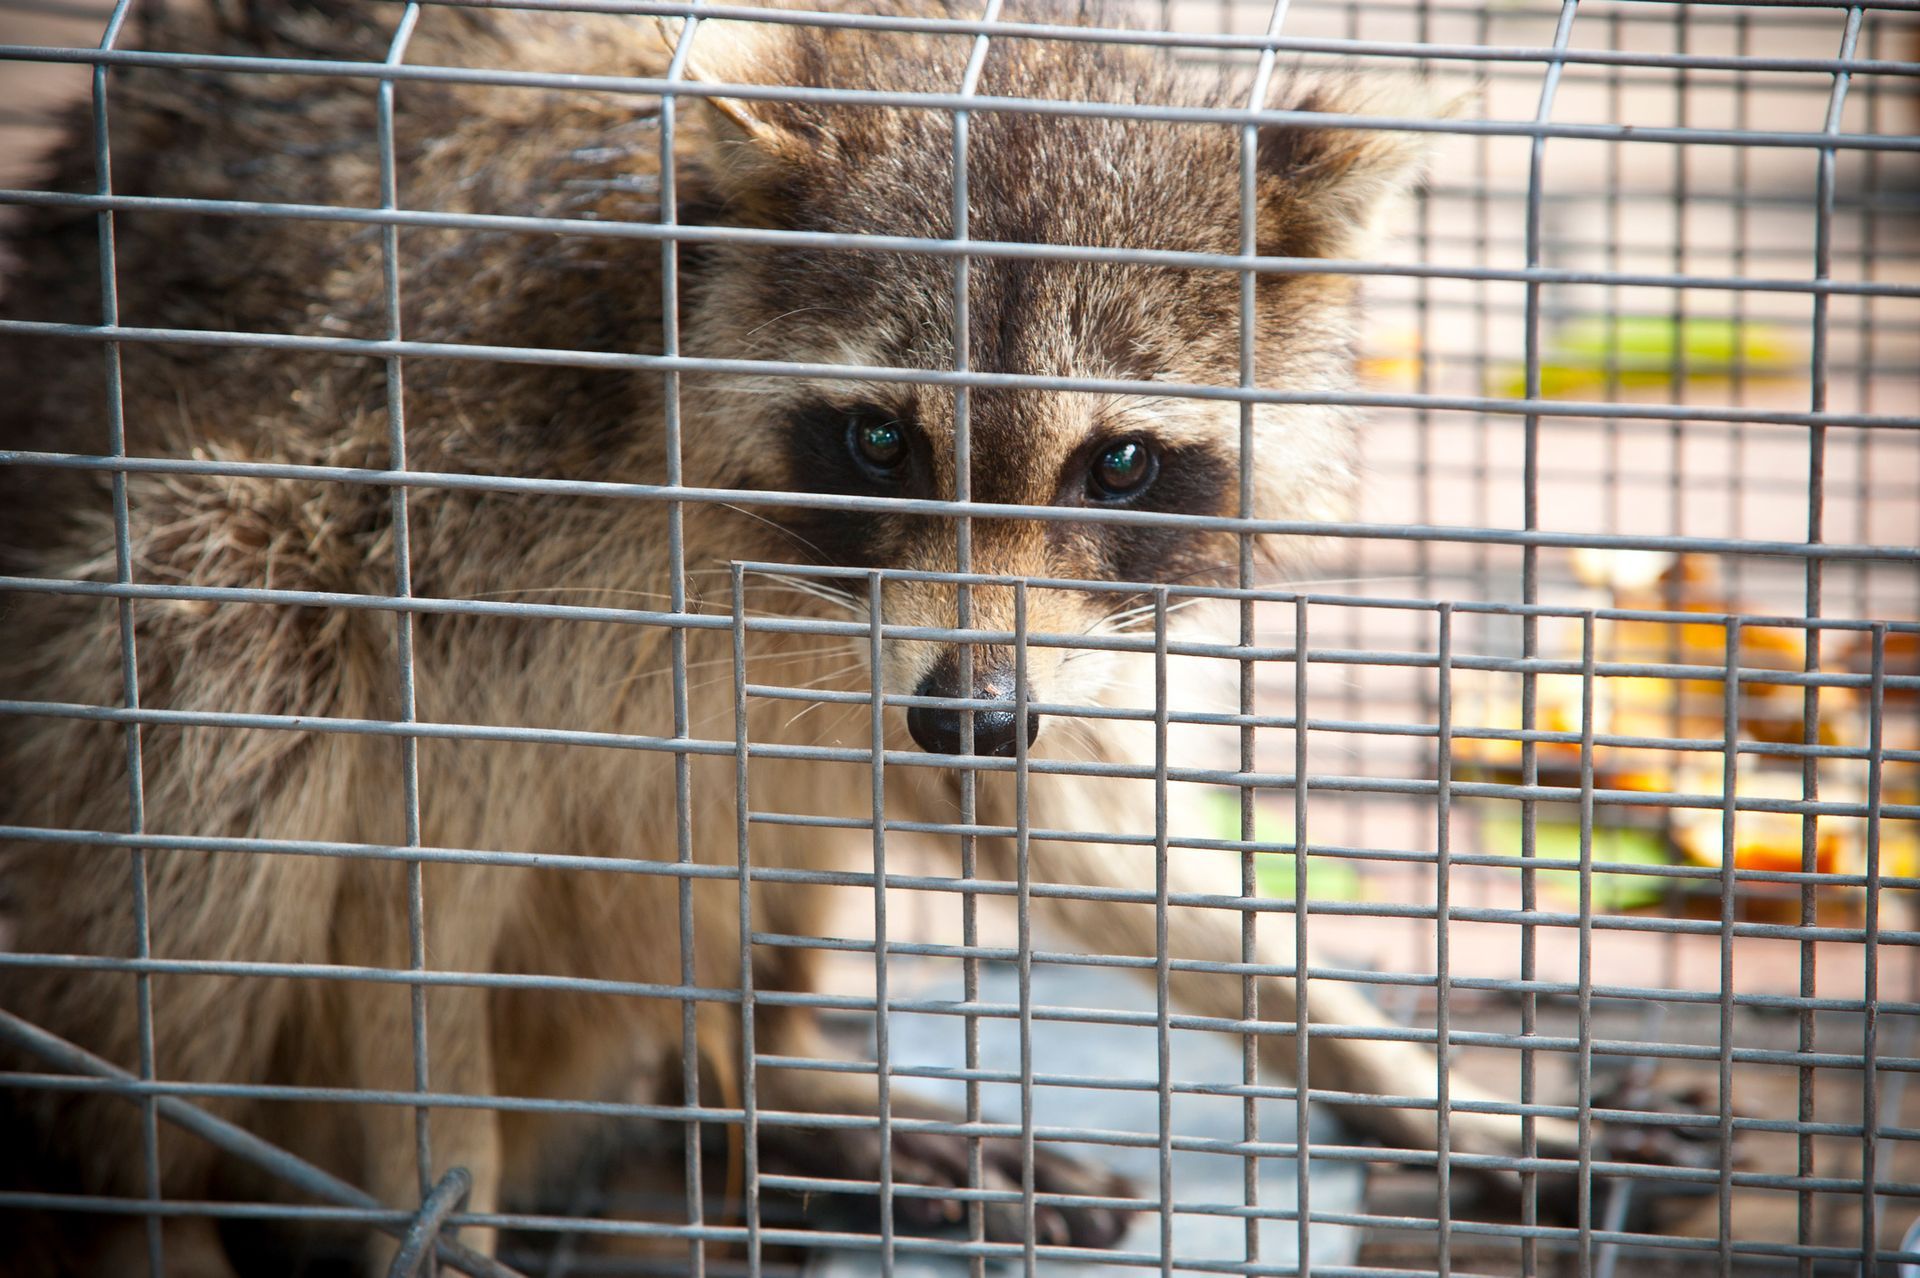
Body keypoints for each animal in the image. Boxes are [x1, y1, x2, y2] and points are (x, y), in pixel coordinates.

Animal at [0, 2, 1573, 1273]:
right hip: (203, 595)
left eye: (1119, 464)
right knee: (225, 675)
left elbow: (1073, 813)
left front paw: (1395, 1066)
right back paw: (155, 1205)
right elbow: (409, 882)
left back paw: (770, 1076)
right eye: (882, 442)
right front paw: (440, 1216)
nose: (969, 713)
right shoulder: (450, 502)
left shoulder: (994, 650)